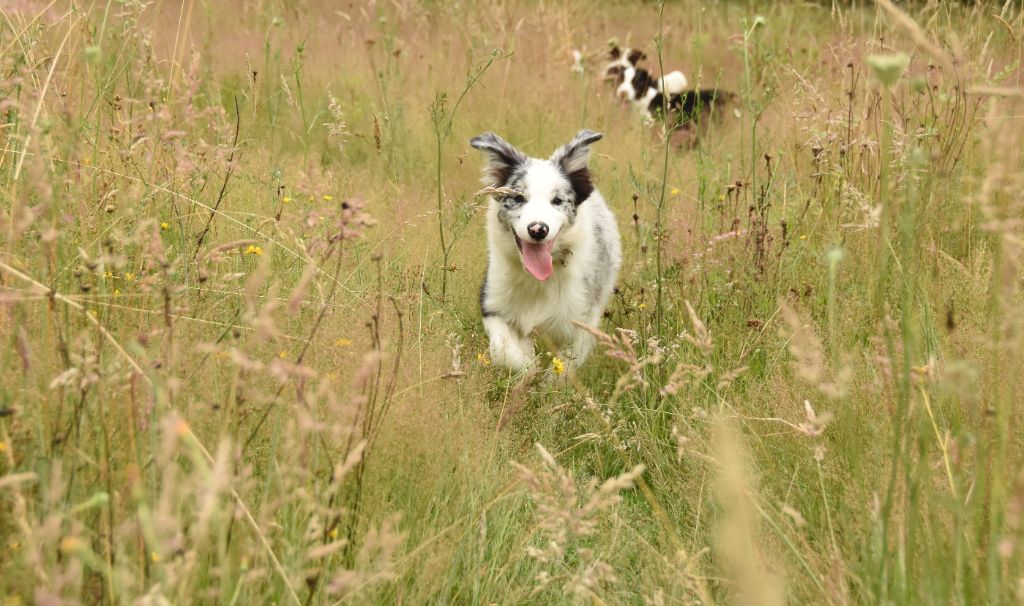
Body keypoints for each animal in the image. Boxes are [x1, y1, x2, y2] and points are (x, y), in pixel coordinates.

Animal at [468, 129, 618, 374]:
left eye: (557, 200)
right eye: (518, 198)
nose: (538, 229)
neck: (537, 281)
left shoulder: (580, 320)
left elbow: (564, 368)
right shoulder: (493, 302)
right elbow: (504, 352)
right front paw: (529, 366)